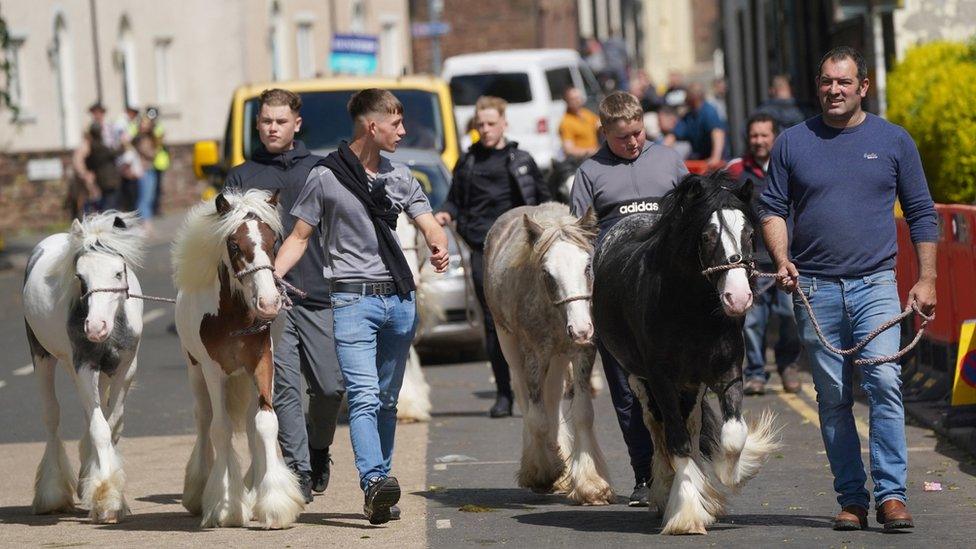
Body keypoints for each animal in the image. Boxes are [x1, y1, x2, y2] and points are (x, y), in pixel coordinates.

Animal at [172, 188, 302, 528]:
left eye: (273, 241)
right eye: (234, 245)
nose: (269, 303)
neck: (233, 317)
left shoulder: (262, 361)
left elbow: (265, 424)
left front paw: (274, 504)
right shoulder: (213, 370)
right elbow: (221, 429)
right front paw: (226, 506)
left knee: (251, 424)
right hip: (195, 372)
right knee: (204, 419)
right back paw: (198, 491)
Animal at [484, 202, 612, 506]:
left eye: (587, 266)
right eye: (548, 273)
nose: (581, 329)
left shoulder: (582, 353)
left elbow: (583, 413)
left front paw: (590, 484)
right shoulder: (534, 356)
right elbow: (537, 418)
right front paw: (544, 472)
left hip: (558, 357)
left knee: (553, 396)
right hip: (510, 344)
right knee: (526, 398)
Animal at [596, 173, 776, 532]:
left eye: (750, 234)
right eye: (706, 236)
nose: (738, 297)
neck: (691, 311)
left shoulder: (728, 373)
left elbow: (732, 435)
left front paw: (729, 477)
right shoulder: (661, 379)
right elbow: (675, 442)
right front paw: (687, 513)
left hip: (692, 385)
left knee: (691, 427)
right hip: (639, 379)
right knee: (657, 428)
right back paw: (663, 495)